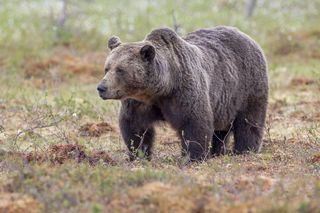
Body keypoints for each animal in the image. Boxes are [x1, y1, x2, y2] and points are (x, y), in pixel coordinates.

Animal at [97, 25, 268, 161]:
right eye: (107, 68)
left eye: (120, 70)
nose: (101, 88)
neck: (161, 89)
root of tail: (246, 36)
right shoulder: (139, 102)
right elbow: (135, 127)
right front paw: (138, 154)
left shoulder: (183, 93)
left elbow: (194, 123)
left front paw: (193, 156)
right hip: (223, 104)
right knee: (220, 131)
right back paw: (217, 152)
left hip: (247, 87)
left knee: (249, 123)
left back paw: (245, 150)